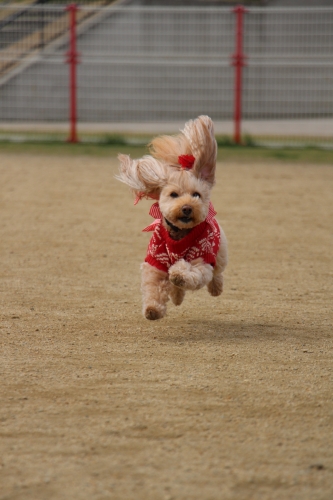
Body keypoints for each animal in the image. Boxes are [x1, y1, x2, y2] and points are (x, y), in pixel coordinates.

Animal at [115, 115, 227, 320]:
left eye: (196, 195)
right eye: (174, 194)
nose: (187, 208)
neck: (179, 233)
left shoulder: (201, 258)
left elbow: (190, 272)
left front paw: (179, 275)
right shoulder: (155, 261)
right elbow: (154, 286)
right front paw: (152, 309)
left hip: (220, 252)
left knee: (216, 272)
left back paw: (215, 288)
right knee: (176, 289)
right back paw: (176, 296)